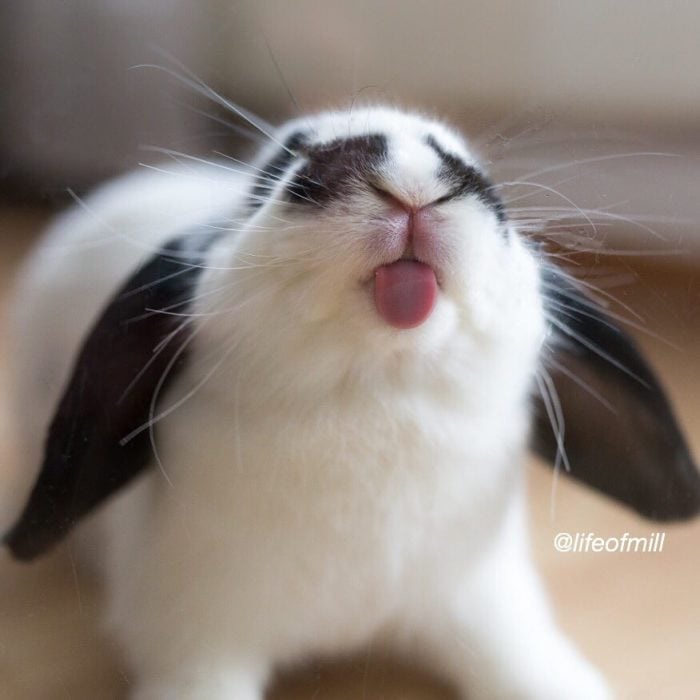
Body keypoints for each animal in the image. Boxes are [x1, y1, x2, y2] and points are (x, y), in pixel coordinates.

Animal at [2, 105, 696, 700]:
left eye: (474, 169)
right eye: (282, 161)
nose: (412, 182)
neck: (374, 392)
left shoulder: (485, 600)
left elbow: (522, 662)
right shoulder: (192, 639)